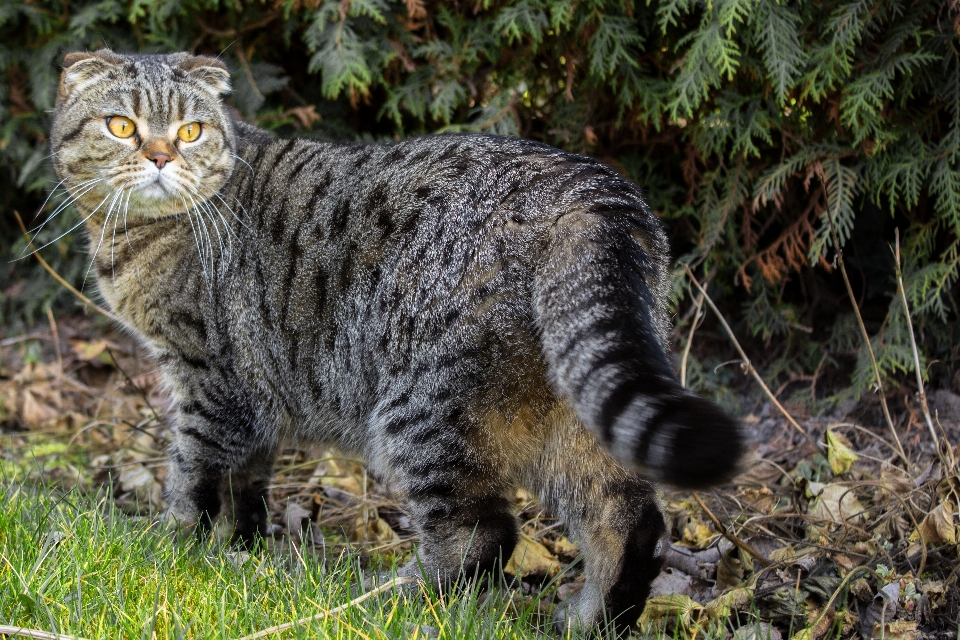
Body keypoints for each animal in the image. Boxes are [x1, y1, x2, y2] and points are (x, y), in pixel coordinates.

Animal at [48, 48, 748, 632]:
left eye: (190, 132)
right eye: (121, 127)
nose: (161, 157)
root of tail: (589, 191)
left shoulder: (207, 380)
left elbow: (190, 473)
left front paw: (168, 548)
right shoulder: (251, 390)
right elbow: (245, 485)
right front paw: (238, 552)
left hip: (422, 410)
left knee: (481, 533)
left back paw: (389, 601)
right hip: (571, 410)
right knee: (629, 522)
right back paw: (591, 621)